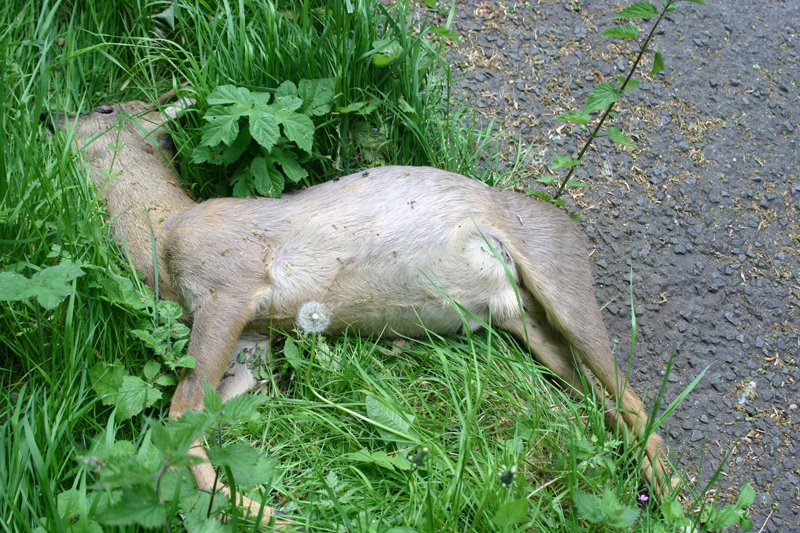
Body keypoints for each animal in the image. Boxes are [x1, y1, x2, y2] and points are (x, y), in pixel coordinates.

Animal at [47, 91, 676, 527]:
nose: (51, 119)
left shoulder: (230, 285)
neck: (161, 236)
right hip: (522, 320)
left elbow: (179, 422)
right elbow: (199, 419)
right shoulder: (252, 343)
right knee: (598, 398)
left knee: (635, 401)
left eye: (104, 106)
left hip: (558, 276)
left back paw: (673, 496)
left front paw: (272, 516)